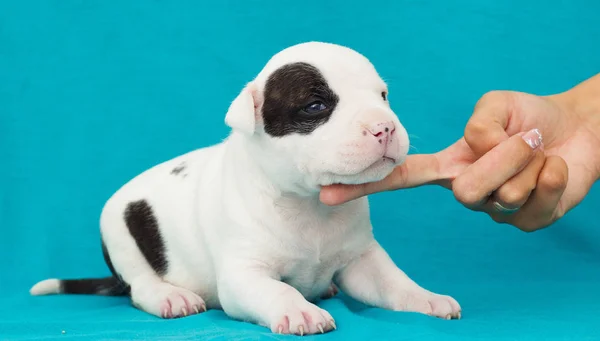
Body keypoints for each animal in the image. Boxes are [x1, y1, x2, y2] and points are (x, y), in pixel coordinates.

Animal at [30, 41, 462, 334]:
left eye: (383, 96)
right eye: (316, 106)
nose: (384, 126)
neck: (308, 204)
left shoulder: (362, 259)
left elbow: (393, 283)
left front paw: (427, 297)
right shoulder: (243, 275)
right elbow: (277, 291)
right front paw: (299, 309)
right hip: (121, 233)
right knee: (140, 285)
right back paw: (170, 296)